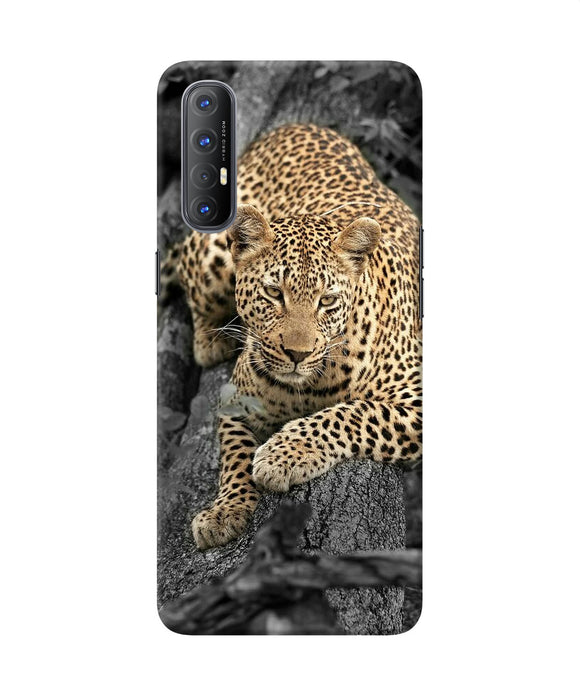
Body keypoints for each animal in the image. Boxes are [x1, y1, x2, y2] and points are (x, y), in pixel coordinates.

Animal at [163, 123, 422, 550]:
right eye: (273, 293)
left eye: (327, 300)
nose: (297, 354)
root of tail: (295, 126)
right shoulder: (235, 399)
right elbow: (234, 454)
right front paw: (225, 511)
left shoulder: (416, 398)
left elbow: (352, 414)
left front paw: (282, 455)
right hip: (213, 254)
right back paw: (211, 340)